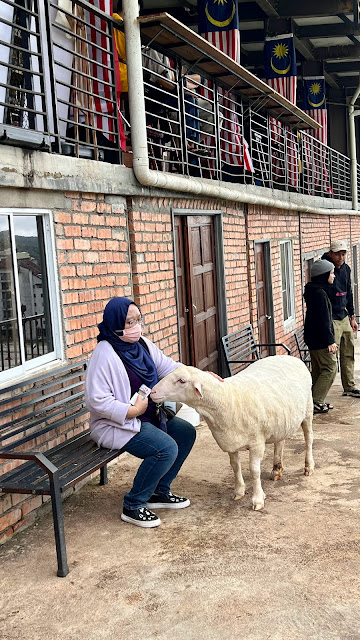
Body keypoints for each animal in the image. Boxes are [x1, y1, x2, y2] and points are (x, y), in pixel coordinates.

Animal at [150, 356, 314, 510]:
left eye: (182, 381)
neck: (228, 399)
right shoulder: (229, 441)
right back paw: (277, 469)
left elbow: (255, 471)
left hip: (308, 410)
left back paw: (308, 467)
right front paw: (239, 492)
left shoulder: (256, 443)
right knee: (280, 441)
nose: (153, 392)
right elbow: (235, 466)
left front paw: (257, 499)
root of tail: (290, 357)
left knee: (308, 439)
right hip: (281, 420)